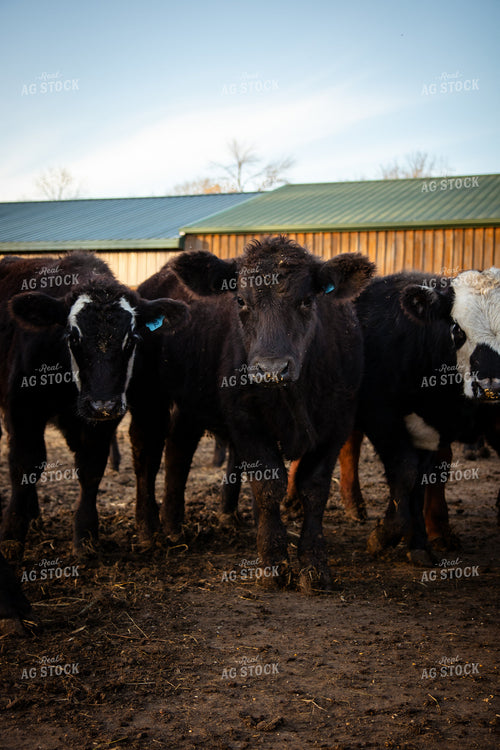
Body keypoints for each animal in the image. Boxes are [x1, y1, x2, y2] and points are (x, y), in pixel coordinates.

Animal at [0, 253, 188, 559]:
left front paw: (86, 536)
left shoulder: (103, 422)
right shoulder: (22, 409)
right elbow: (24, 466)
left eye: (132, 339)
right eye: (72, 336)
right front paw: (12, 536)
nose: (102, 403)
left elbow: (91, 468)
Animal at [162, 236, 375, 590]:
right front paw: (273, 561)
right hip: (183, 406)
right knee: (178, 453)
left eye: (307, 300)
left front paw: (314, 564)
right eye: (240, 300)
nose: (271, 368)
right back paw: (172, 528)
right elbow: (268, 483)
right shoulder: (245, 421)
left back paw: (228, 515)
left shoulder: (336, 425)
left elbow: (314, 488)